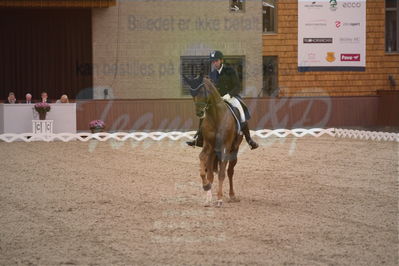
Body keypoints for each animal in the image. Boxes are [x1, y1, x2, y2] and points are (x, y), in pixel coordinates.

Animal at [184, 75, 244, 208]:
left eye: (202, 92)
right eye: (191, 93)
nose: (199, 113)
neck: (216, 116)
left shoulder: (225, 147)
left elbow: (222, 174)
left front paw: (220, 199)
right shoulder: (208, 146)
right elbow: (202, 163)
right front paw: (206, 186)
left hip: (234, 151)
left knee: (230, 172)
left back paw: (232, 195)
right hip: (213, 153)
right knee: (211, 173)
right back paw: (208, 198)